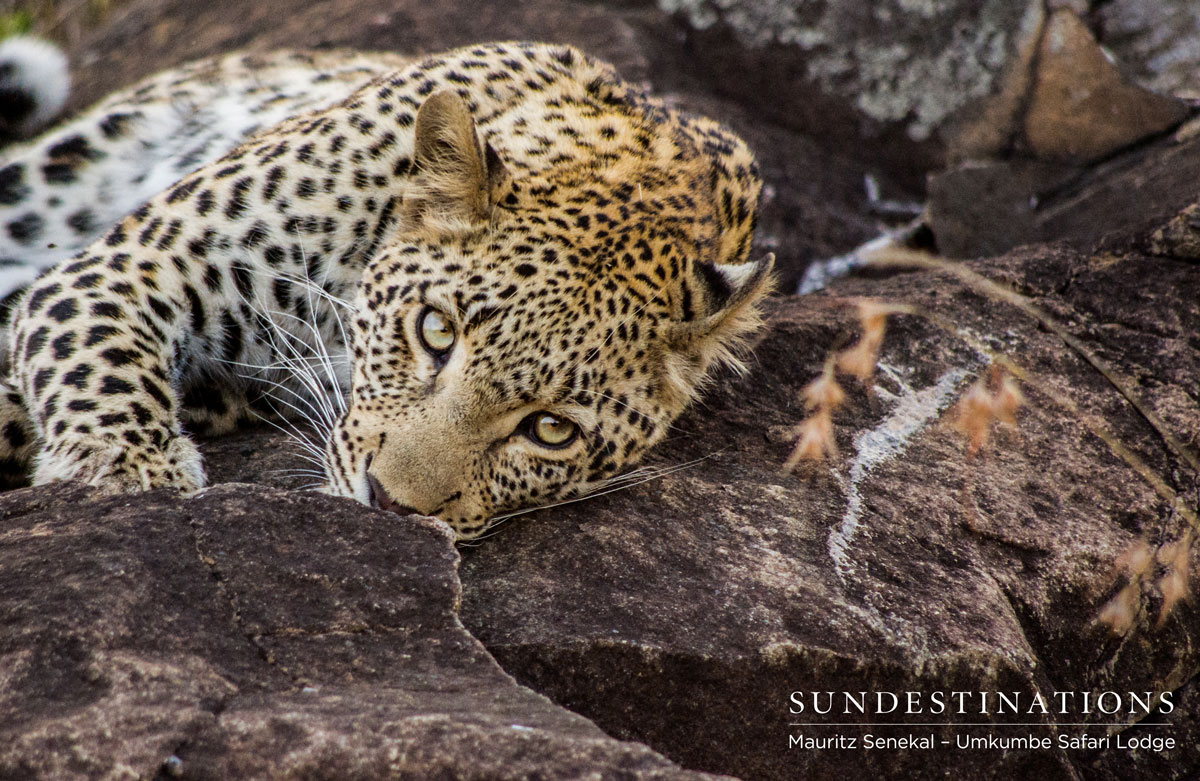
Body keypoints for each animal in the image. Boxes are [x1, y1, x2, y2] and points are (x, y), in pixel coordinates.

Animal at [0, 39, 772, 539]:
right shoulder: (145, 261)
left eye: (551, 429)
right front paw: (132, 475)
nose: (391, 506)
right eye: (435, 331)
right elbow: (97, 352)